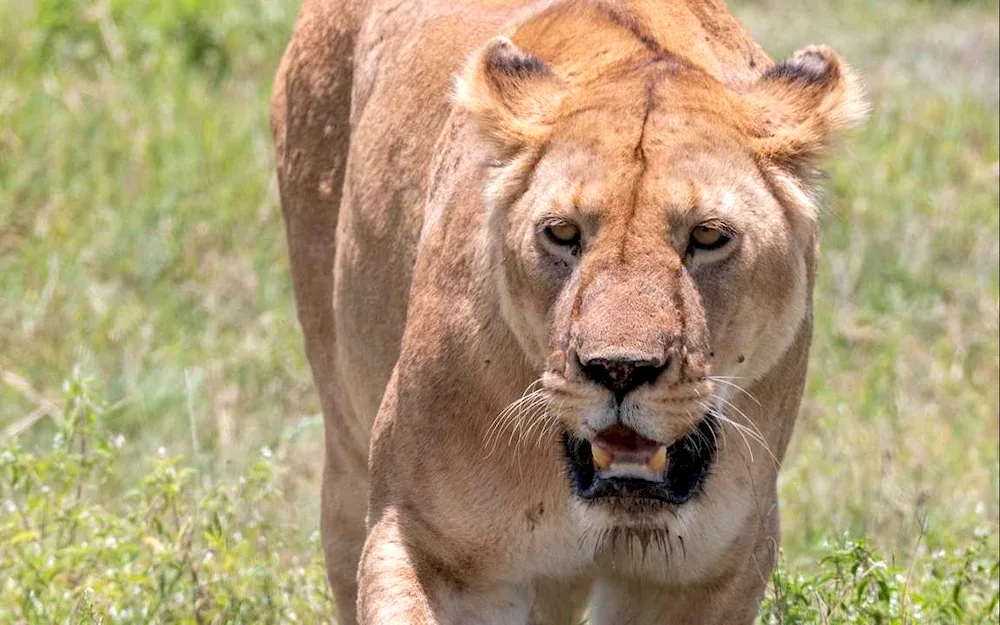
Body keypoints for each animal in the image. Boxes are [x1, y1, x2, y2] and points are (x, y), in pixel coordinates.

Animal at [270, 0, 866, 623]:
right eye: (561, 233)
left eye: (708, 236)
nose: (620, 370)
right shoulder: (420, 540)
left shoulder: (708, 575)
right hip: (343, 437)